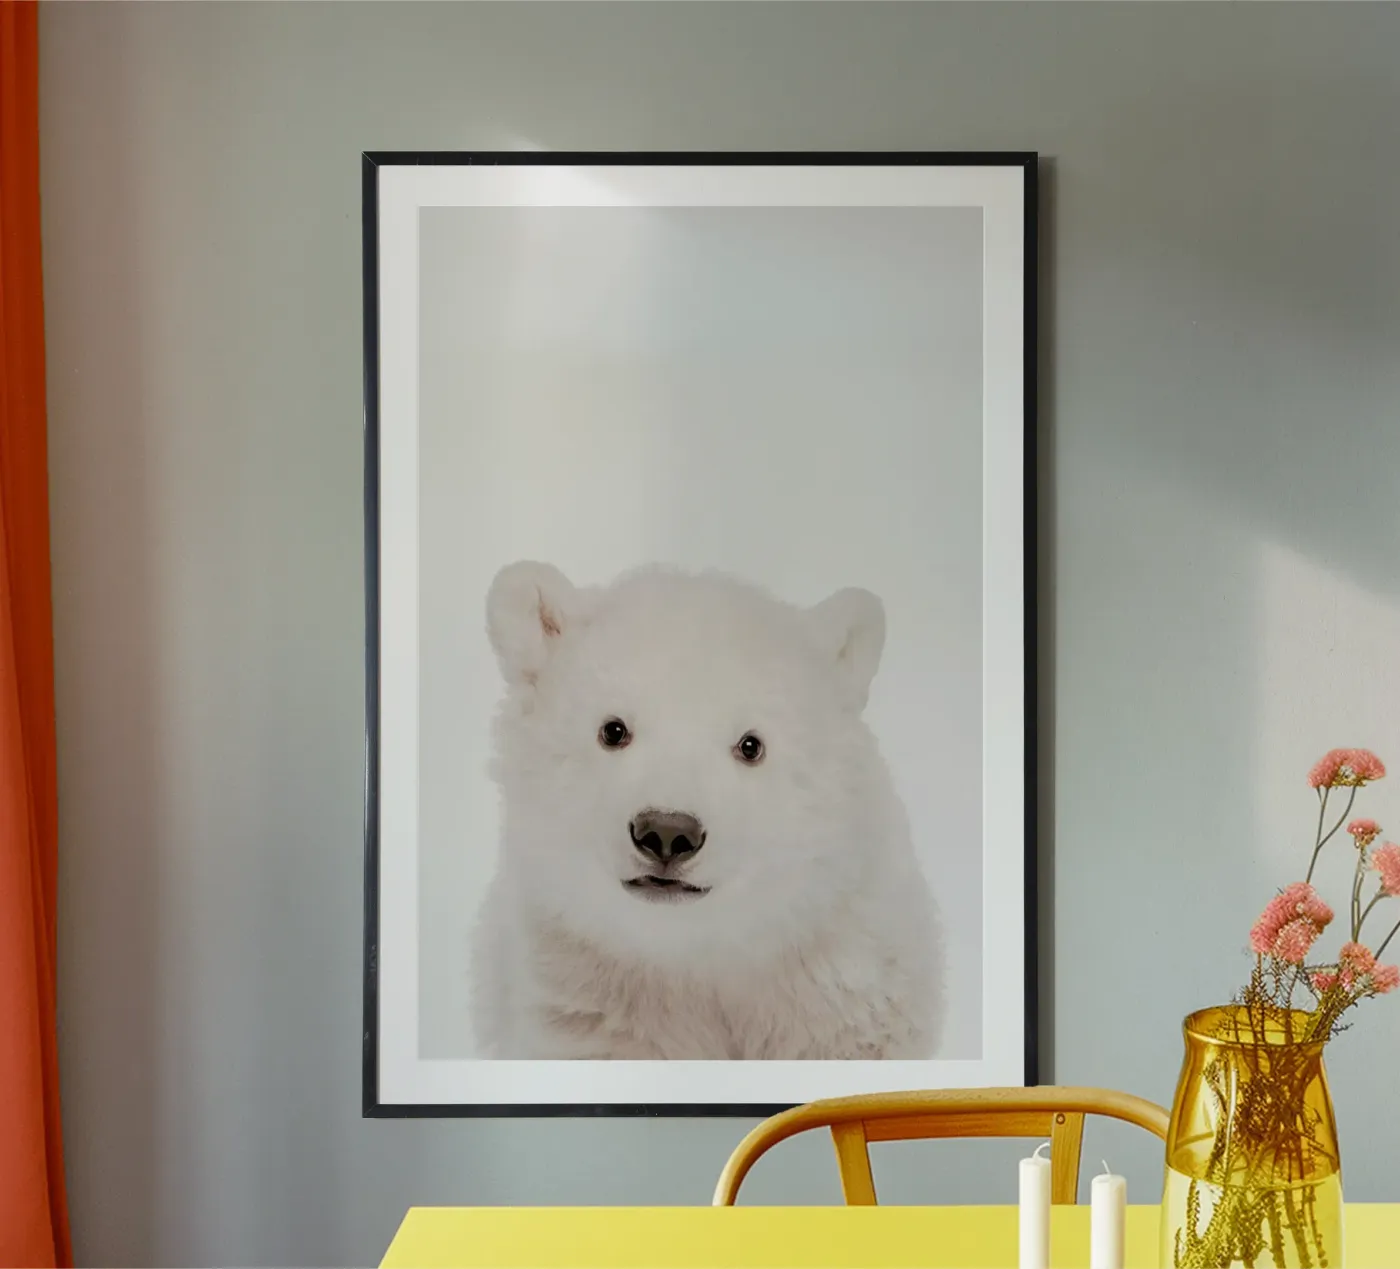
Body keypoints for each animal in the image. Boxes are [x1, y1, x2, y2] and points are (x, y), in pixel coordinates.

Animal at [468, 560, 943, 1060]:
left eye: (751, 745)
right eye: (613, 730)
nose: (666, 832)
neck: (700, 951)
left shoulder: (843, 995)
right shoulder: (587, 1000)